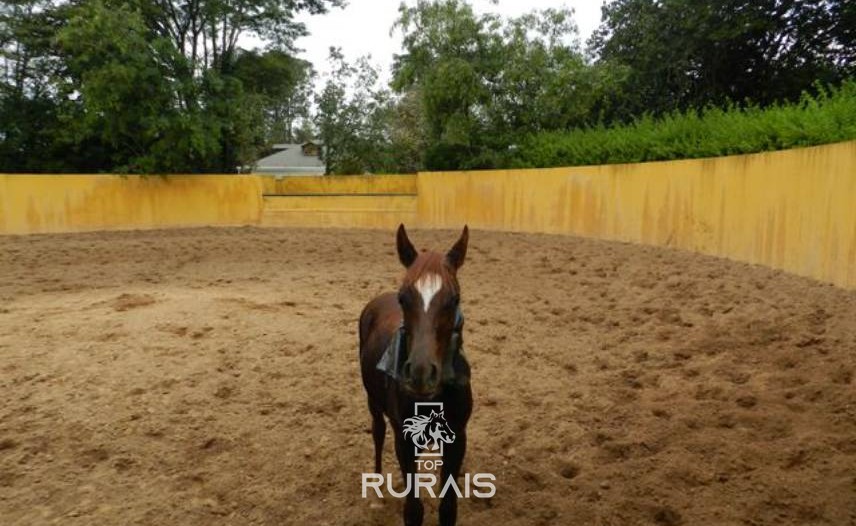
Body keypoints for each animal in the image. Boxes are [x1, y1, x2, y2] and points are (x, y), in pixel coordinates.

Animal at [356, 225, 472, 524]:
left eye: (454, 299)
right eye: (403, 298)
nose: (421, 373)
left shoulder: (458, 437)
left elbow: (448, 508)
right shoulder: (404, 440)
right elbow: (413, 509)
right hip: (373, 402)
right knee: (377, 433)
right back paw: (377, 494)